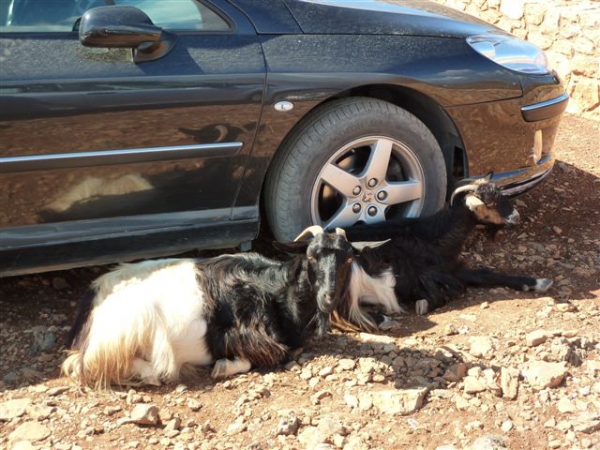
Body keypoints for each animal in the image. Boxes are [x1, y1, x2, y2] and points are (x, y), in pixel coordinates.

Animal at [62, 227, 366, 388]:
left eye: (348, 258)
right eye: (312, 256)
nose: (327, 297)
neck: (278, 291)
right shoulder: (242, 334)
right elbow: (269, 354)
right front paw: (221, 367)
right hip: (132, 322)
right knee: (85, 366)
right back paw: (157, 373)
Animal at [342, 174, 552, 318]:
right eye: (490, 203)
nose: (515, 217)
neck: (435, 236)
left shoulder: (451, 267)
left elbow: (486, 274)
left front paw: (540, 282)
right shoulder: (423, 271)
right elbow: (457, 288)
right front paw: (424, 304)